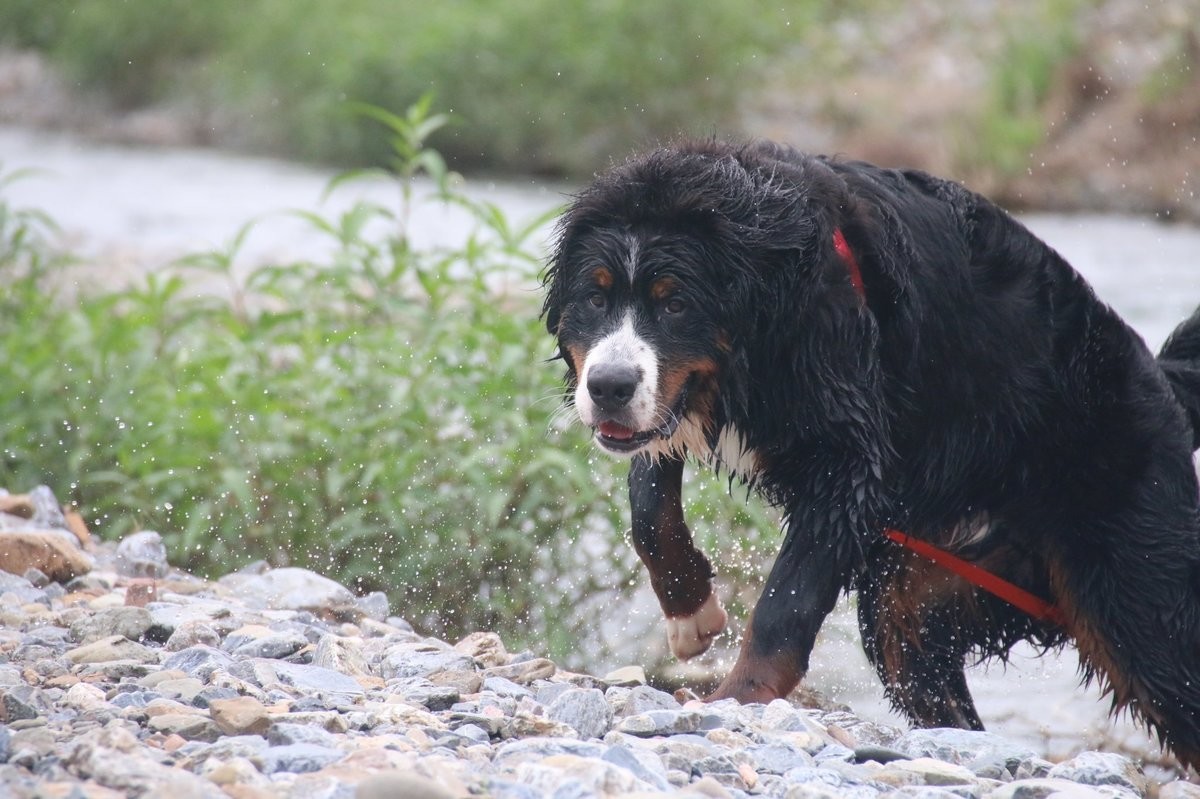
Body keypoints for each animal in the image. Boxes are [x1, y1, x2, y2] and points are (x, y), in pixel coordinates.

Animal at [542, 138, 1200, 767]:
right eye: (595, 299)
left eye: (675, 304)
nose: (608, 387)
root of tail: (1161, 383)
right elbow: (650, 513)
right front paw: (691, 613)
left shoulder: (846, 461)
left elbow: (784, 601)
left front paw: (740, 698)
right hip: (909, 609)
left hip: (1138, 601)